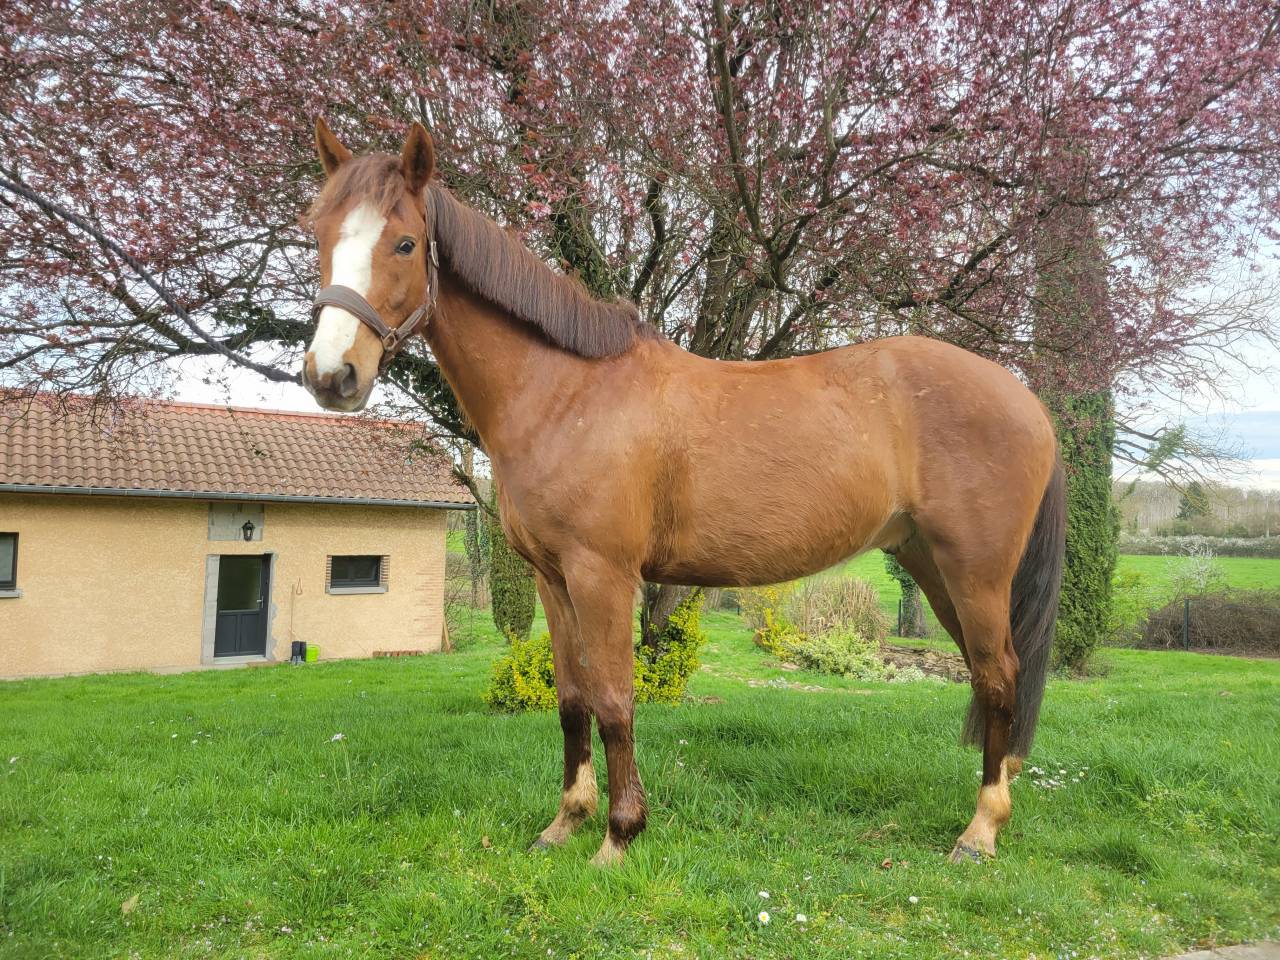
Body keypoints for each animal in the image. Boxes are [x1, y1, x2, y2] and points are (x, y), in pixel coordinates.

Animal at [301, 120, 1066, 867]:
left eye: (404, 242)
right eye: (319, 234)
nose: (332, 375)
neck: (566, 394)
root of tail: (1028, 401)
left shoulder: (603, 574)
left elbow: (614, 700)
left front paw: (618, 836)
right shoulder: (551, 576)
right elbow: (571, 700)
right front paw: (565, 822)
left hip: (974, 570)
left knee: (999, 675)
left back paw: (979, 831)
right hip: (931, 565)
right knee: (986, 674)